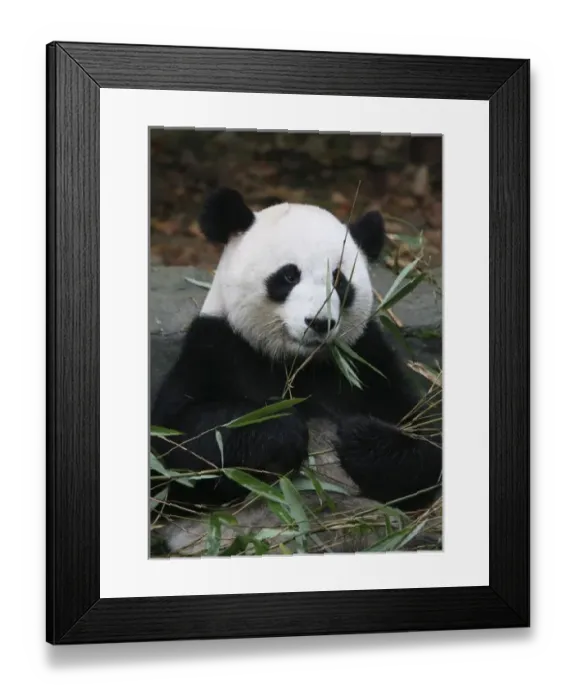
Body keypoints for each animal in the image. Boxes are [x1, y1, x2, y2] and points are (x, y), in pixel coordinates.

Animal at [151, 188, 442, 555]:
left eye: (338, 279)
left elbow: (426, 441)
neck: (298, 363)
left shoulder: (367, 360)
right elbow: (175, 448)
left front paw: (356, 436)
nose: (319, 322)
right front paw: (283, 429)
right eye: (289, 276)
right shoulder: (216, 348)